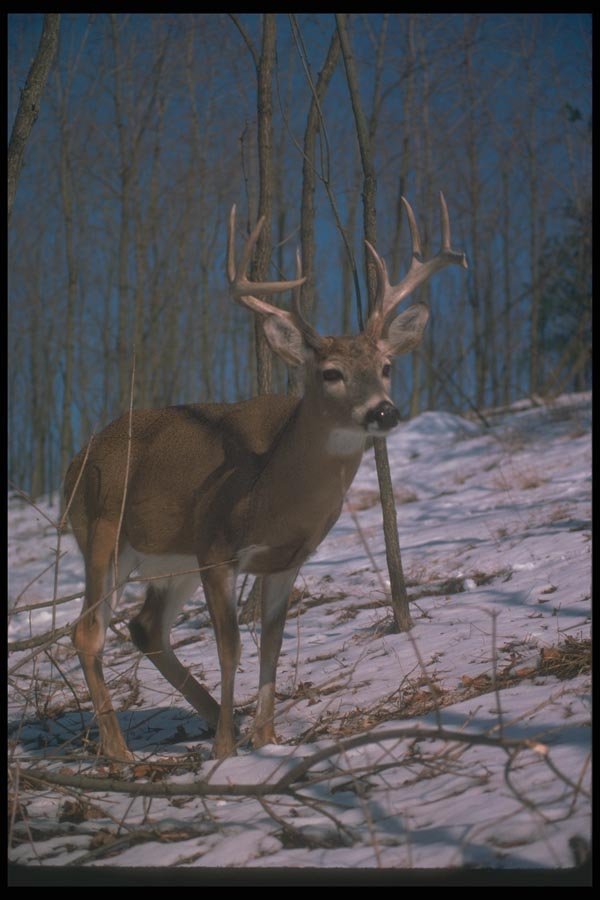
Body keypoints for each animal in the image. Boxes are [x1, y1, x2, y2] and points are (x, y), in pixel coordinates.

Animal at [64, 194, 467, 760]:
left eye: (387, 366)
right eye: (331, 373)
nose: (383, 411)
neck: (274, 492)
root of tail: (76, 460)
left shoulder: (286, 559)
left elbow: (272, 642)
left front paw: (266, 737)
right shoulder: (216, 549)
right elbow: (231, 646)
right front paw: (226, 751)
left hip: (170, 559)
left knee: (146, 629)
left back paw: (210, 716)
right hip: (103, 534)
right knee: (88, 631)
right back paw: (122, 752)